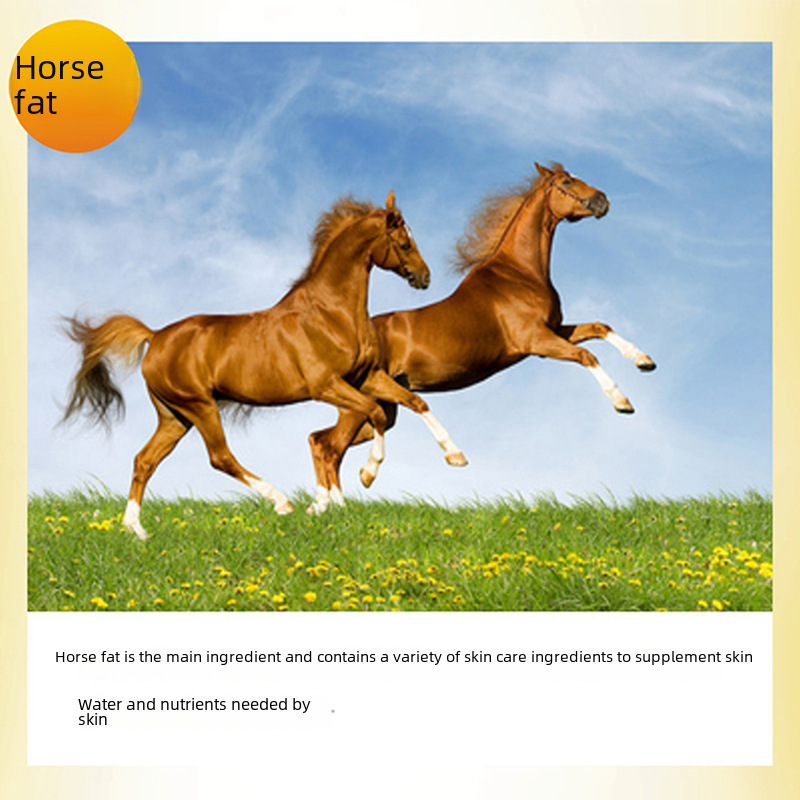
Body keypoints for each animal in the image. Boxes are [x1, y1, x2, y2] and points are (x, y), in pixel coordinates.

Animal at [61, 192, 467, 539]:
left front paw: (455, 456)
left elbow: (415, 402)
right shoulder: (327, 385)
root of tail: (156, 335)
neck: (331, 312)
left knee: (144, 460)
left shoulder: (366, 376)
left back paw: (137, 530)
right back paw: (281, 502)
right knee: (220, 457)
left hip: (174, 416)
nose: (425, 277)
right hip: (200, 406)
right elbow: (375, 414)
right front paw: (367, 475)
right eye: (404, 243)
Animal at [306, 163, 655, 496]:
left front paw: (644, 360)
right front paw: (622, 402)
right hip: (361, 406)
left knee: (320, 440)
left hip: (382, 407)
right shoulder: (538, 341)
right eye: (566, 182)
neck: (520, 273)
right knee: (329, 447)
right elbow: (587, 356)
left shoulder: (554, 330)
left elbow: (600, 327)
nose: (602, 200)